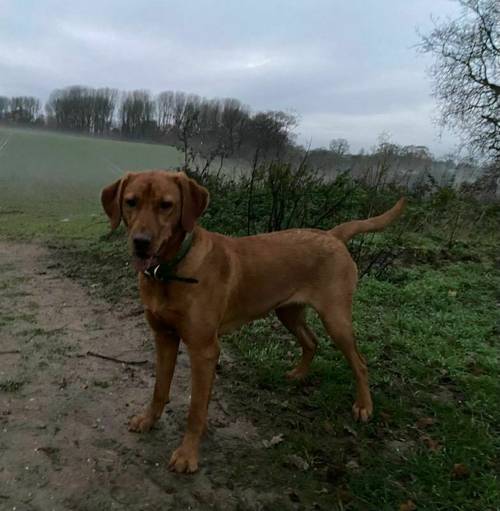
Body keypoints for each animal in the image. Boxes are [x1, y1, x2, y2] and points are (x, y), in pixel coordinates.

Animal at [101, 170, 406, 474]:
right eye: (131, 202)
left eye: (166, 205)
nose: (141, 242)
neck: (169, 270)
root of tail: (332, 235)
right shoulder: (164, 337)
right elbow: (160, 388)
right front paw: (148, 419)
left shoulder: (203, 349)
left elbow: (195, 408)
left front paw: (188, 454)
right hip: (288, 312)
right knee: (311, 340)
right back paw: (298, 374)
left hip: (336, 318)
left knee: (360, 362)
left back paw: (364, 406)